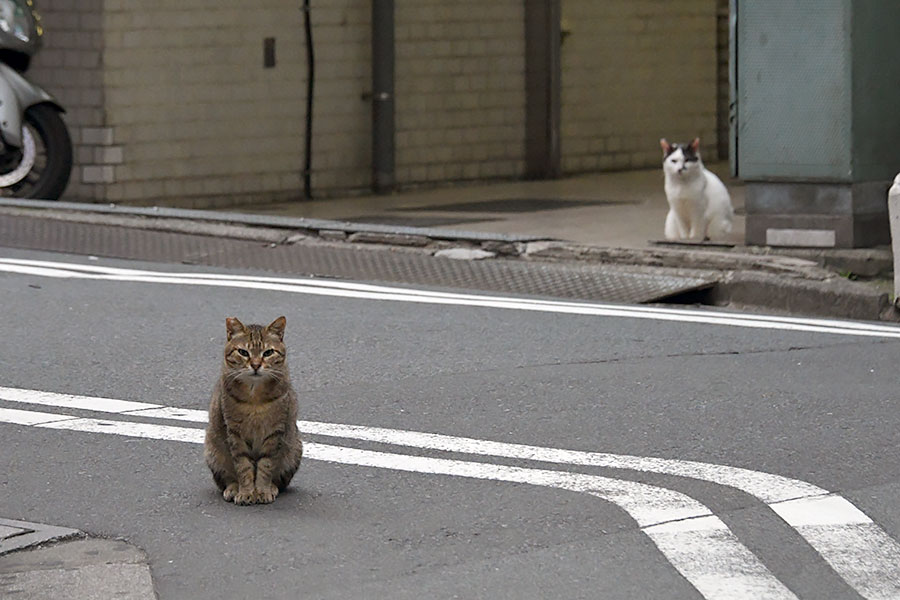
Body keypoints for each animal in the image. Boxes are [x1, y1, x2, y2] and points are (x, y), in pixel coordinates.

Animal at [204, 316, 302, 504]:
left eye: (268, 352)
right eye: (243, 352)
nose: (256, 365)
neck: (254, 395)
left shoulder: (274, 433)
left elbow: (266, 466)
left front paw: (262, 490)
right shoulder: (235, 433)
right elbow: (243, 466)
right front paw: (246, 492)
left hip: (294, 448)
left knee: (280, 481)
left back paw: (272, 487)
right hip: (212, 449)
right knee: (227, 479)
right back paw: (233, 488)